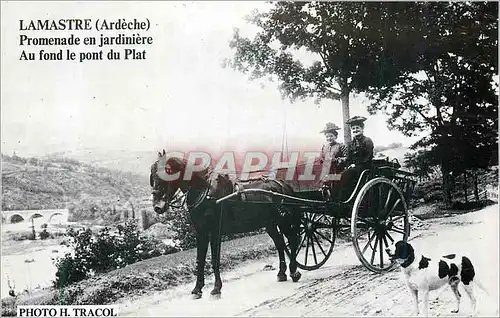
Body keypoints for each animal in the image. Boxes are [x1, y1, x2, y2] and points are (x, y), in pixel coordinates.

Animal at [149, 151, 300, 298]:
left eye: (167, 171)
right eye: (152, 175)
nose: (157, 206)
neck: (206, 192)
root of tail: (281, 183)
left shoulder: (215, 232)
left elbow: (215, 259)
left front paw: (216, 288)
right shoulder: (201, 233)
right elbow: (200, 260)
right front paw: (198, 288)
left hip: (284, 220)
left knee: (292, 240)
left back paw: (294, 271)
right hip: (270, 224)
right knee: (280, 244)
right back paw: (282, 273)